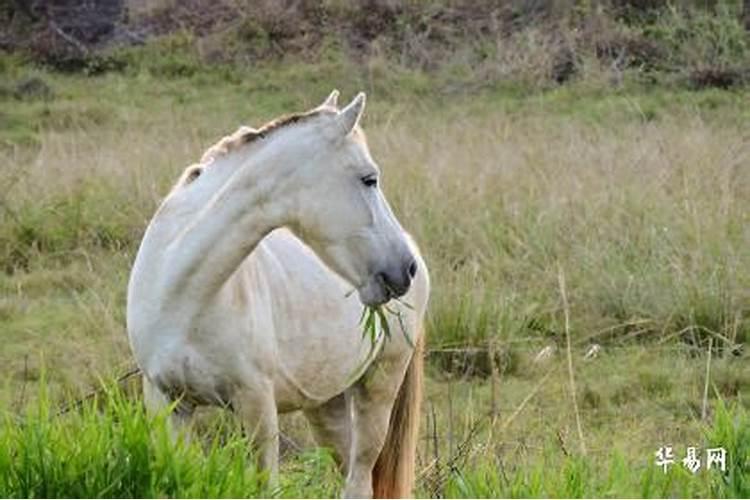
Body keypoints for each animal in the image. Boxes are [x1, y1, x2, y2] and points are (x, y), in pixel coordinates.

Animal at [126, 92, 426, 498]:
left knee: (361, 476)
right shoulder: (167, 403)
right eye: (369, 179)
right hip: (326, 405)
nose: (404, 268)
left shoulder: (256, 405)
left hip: (379, 385)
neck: (182, 296)